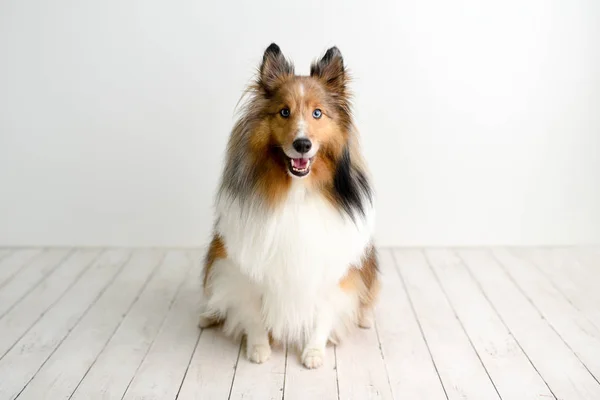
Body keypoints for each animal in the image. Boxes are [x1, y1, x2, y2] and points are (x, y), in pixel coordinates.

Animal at [202, 43, 380, 368]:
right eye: (284, 112)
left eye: (317, 113)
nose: (302, 144)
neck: (297, 191)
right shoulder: (243, 265)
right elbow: (251, 310)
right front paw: (258, 348)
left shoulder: (329, 268)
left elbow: (324, 313)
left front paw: (313, 352)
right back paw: (207, 316)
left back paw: (364, 319)